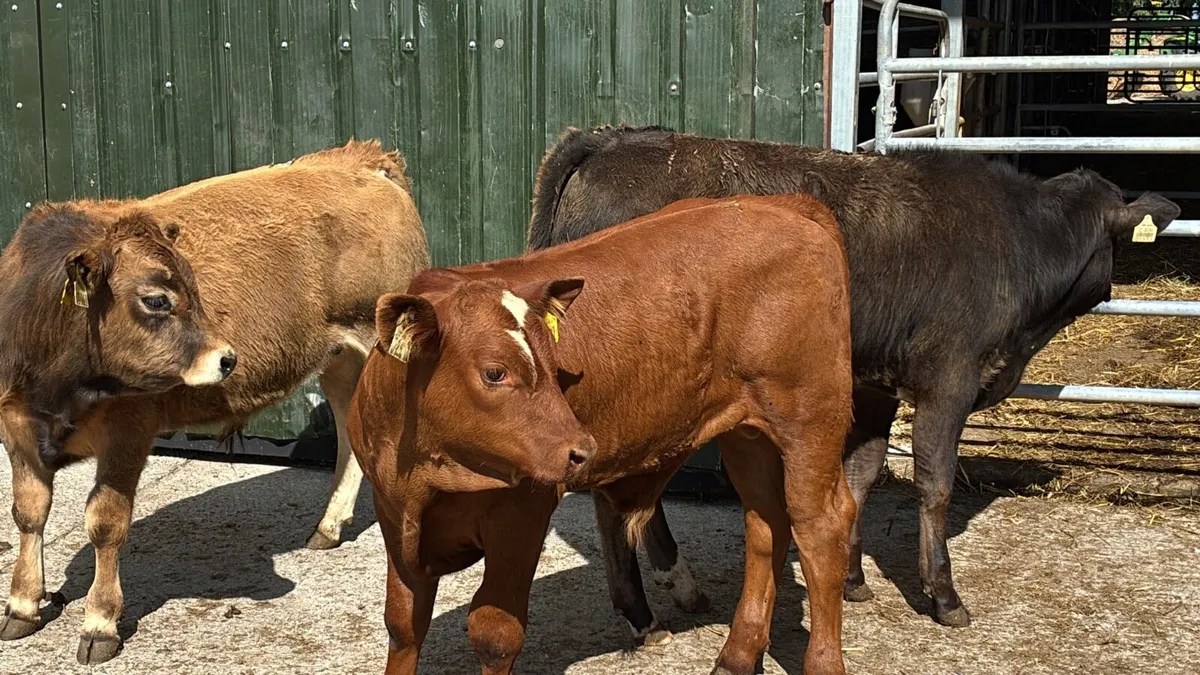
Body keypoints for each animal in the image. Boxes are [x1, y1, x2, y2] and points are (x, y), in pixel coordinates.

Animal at [0, 140, 429, 664]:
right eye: (157, 299)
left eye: (193, 286)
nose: (227, 359)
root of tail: (361, 159)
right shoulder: (17, 428)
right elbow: (28, 512)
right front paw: (22, 606)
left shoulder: (128, 431)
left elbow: (105, 522)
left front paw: (99, 624)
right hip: (340, 359)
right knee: (351, 432)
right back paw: (328, 527)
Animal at [349, 195, 856, 675]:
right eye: (494, 372)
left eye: (553, 366)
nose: (581, 450)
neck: (427, 472)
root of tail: (781, 205)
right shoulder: (392, 514)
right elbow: (404, 623)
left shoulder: (521, 512)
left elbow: (495, 634)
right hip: (748, 434)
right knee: (766, 523)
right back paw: (737, 655)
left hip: (810, 418)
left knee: (822, 526)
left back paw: (821, 660)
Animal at [527, 125, 1181, 636]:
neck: (1019, 243)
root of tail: (614, 138)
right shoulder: (949, 378)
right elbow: (935, 484)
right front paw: (944, 596)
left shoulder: (872, 384)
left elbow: (861, 474)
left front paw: (853, 576)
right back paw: (644, 610)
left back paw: (674, 587)